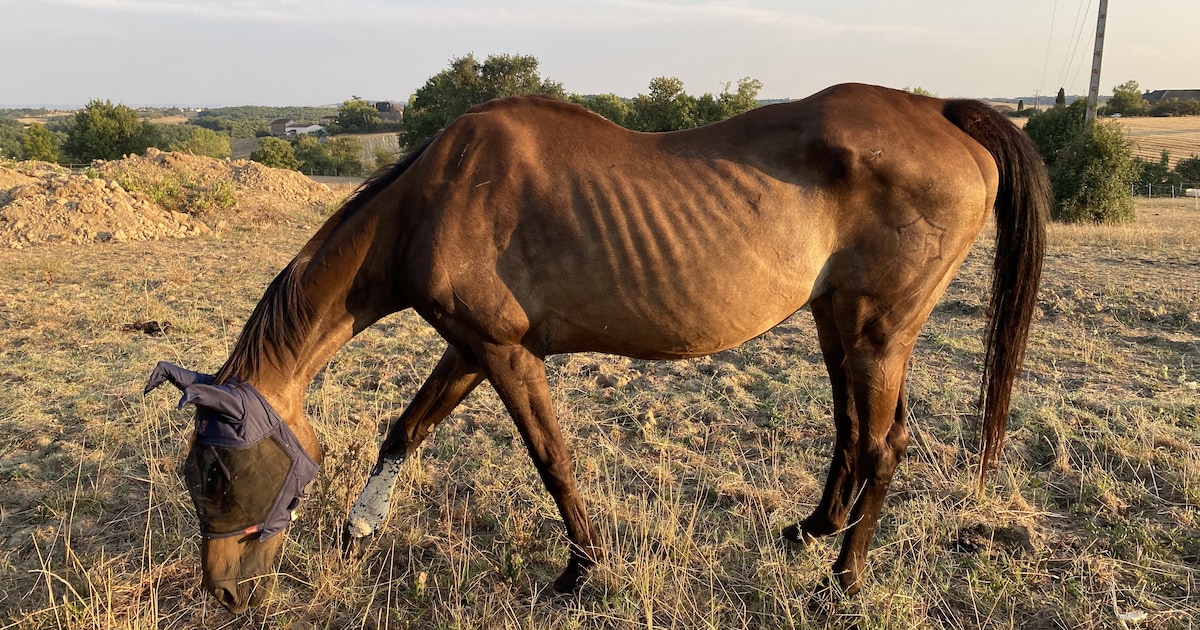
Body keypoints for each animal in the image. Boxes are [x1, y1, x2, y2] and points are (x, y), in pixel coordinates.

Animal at [146, 83, 1047, 613]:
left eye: (215, 474)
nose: (224, 596)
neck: (436, 198)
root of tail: (940, 110)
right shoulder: (473, 347)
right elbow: (405, 429)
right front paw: (363, 527)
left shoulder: (504, 352)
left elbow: (551, 459)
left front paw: (580, 570)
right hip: (841, 326)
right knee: (856, 436)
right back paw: (810, 531)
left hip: (877, 331)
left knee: (884, 445)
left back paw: (844, 582)